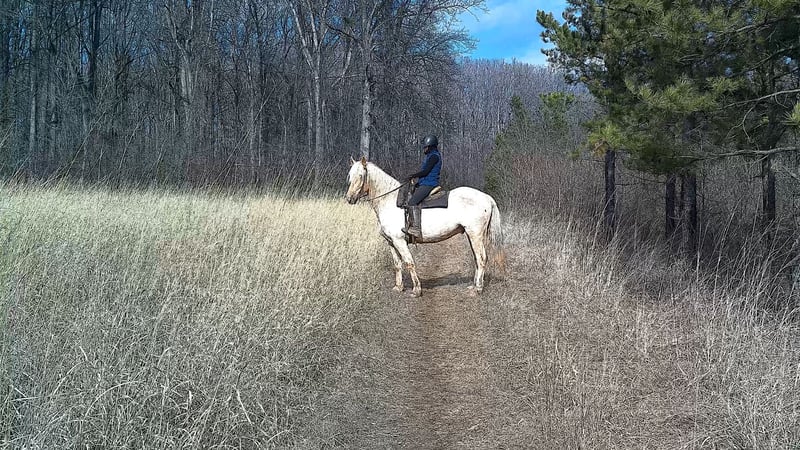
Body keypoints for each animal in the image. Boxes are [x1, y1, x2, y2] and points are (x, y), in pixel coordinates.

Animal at [345, 157, 505, 297]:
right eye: (350, 175)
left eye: (361, 175)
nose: (349, 199)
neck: (390, 201)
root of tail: (487, 198)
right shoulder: (391, 242)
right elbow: (397, 264)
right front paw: (398, 287)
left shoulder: (399, 241)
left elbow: (409, 263)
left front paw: (416, 290)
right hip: (471, 236)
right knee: (477, 259)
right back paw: (474, 285)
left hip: (475, 235)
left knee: (481, 258)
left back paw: (477, 289)